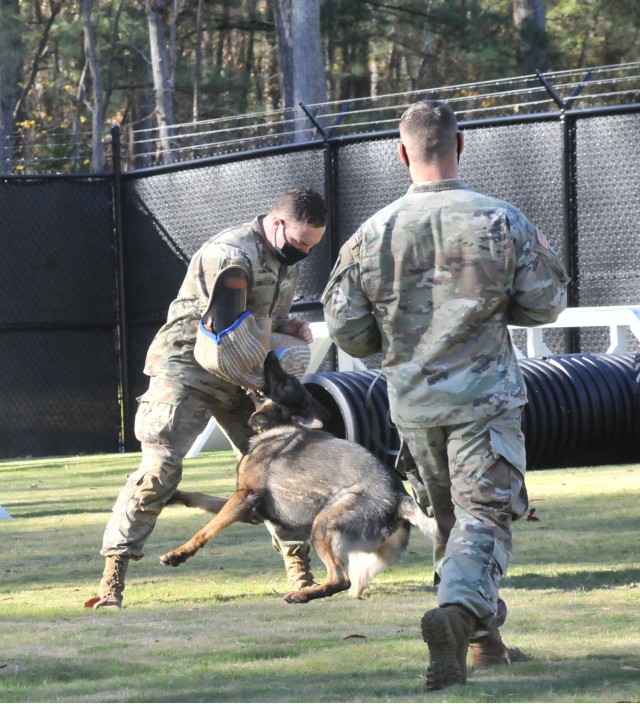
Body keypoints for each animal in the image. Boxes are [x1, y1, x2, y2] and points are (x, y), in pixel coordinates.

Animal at [162, 350, 438, 604]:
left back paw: (301, 595)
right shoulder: (249, 509)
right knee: (351, 581)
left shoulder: (244, 498)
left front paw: (179, 554)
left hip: (322, 526)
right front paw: (172, 496)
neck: (276, 428)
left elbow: (206, 530)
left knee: (340, 578)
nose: (271, 354)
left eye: (286, 384)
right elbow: (199, 497)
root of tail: (400, 497)